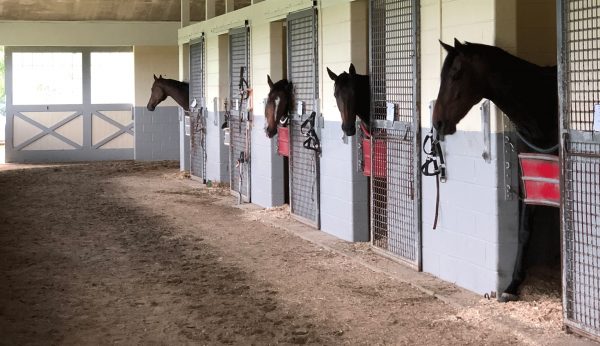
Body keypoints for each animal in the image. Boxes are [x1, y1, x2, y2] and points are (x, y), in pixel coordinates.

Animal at [432, 38, 556, 302]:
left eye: (455, 74)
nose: (437, 123)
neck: (541, 104)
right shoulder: (531, 176)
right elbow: (524, 229)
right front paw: (512, 285)